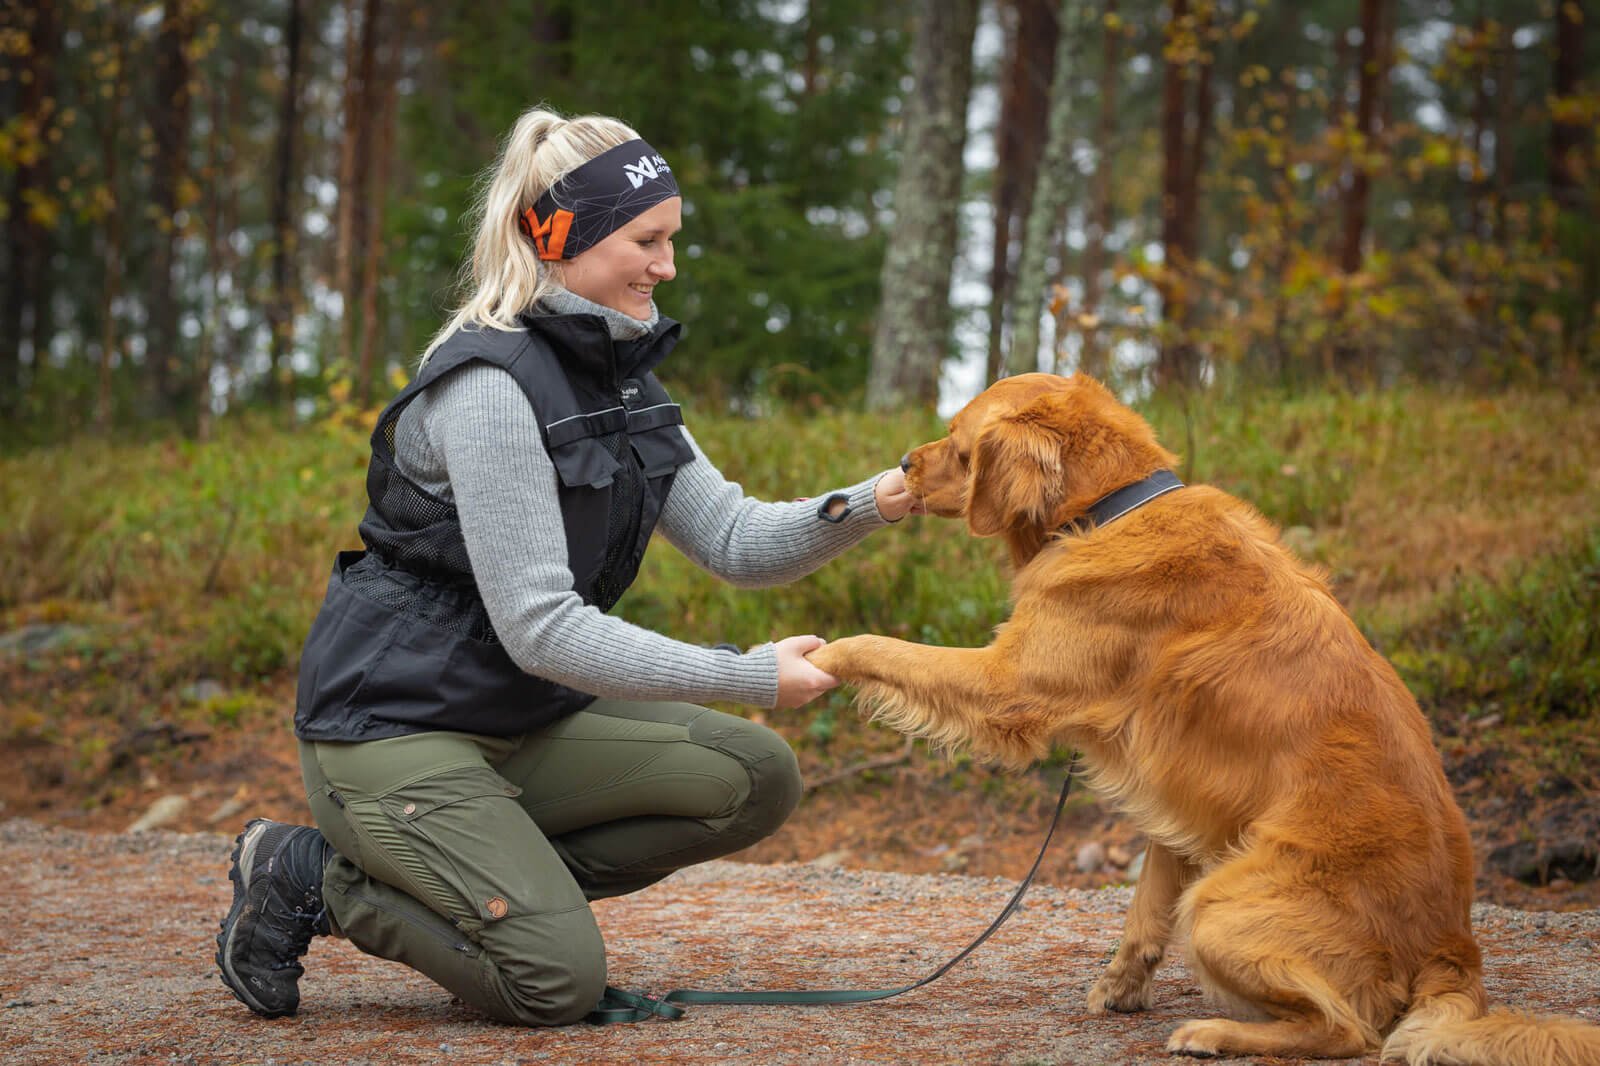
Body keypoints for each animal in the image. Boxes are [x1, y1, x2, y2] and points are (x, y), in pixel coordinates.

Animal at [812, 372, 1600, 1062]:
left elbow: (883, 647)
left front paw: (823, 655)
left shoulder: (1007, 680)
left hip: (1220, 907)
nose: (902, 465)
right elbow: (1145, 903)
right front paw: (1121, 985)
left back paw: (1216, 1034)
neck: (1112, 506)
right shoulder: (1181, 797)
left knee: (1348, 1032)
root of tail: (1454, 950)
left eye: (956, 440)